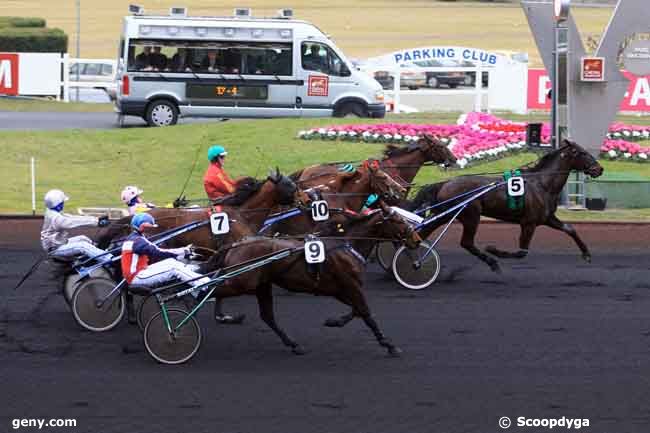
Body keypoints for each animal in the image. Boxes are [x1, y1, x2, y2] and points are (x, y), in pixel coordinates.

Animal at [199, 204, 420, 356]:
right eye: (399, 221)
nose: (416, 240)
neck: (347, 245)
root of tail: (235, 245)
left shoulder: (339, 289)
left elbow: (357, 310)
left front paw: (334, 321)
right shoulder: (351, 285)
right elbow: (366, 313)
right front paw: (388, 344)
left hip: (261, 285)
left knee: (268, 316)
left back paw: (294, 344)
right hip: (242, 282)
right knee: (211, 291)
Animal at [410, 140, 604, 272]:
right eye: (582, 152)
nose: (599, 169)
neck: (542, 183)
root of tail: (445, 183)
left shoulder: (547, 218)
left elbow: (570, 229)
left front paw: (586, 254)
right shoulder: (529, 223)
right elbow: (521, 252)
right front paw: (494, 250)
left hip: (446, 214)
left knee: (422, 233)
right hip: (470, 215)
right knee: (466, 242)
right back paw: (492, 262)